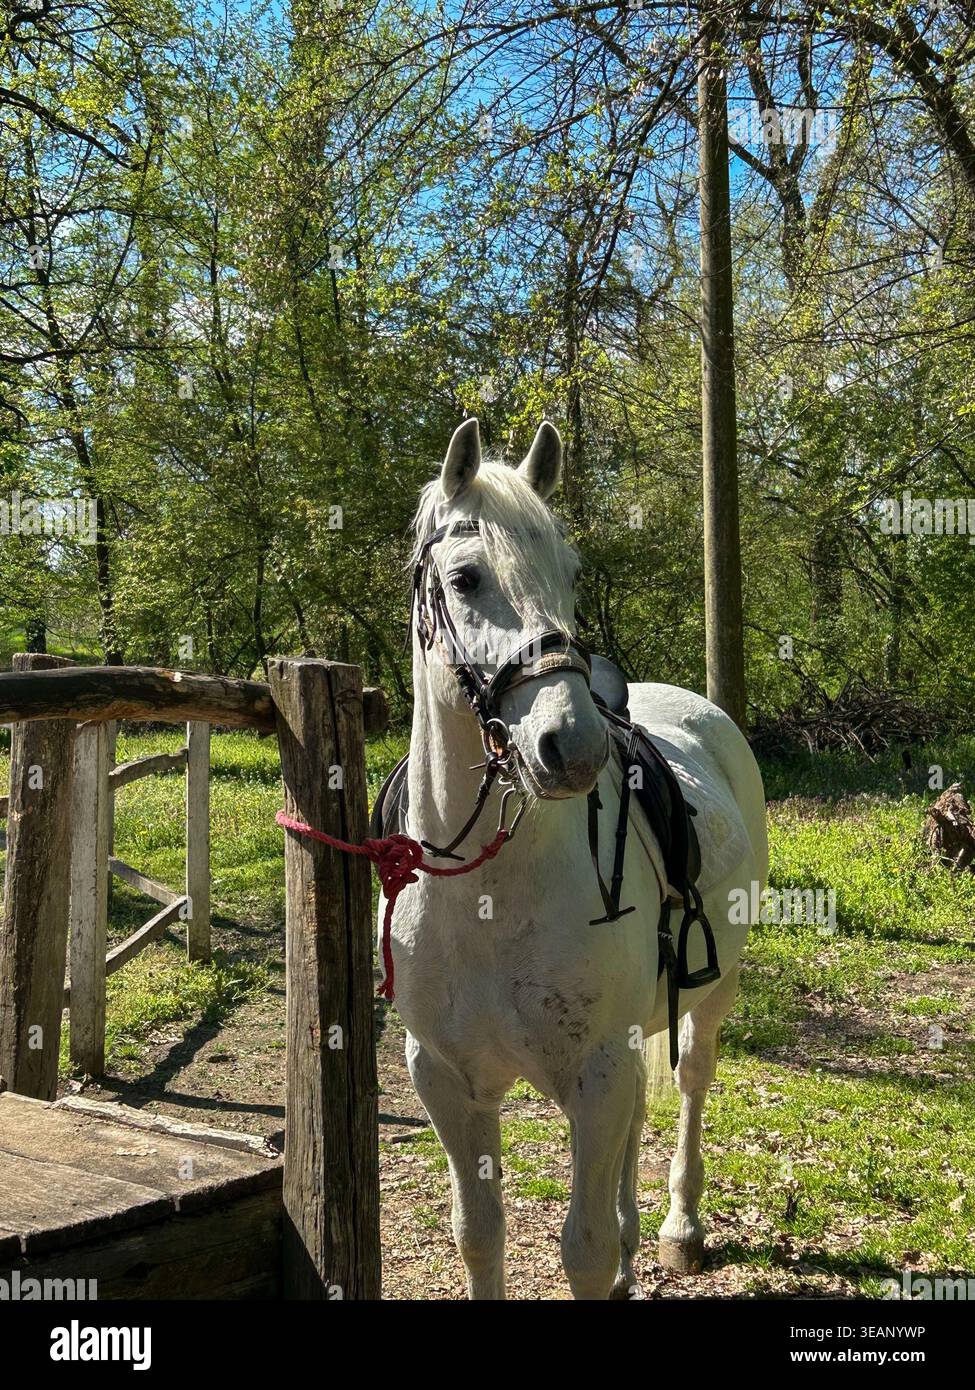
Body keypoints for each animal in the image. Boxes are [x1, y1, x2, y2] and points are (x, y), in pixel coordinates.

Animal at [381, 416, 768, 1300]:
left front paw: (623, 1247)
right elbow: (478, 1234)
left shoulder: (596, 1072)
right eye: (465, 578)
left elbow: (581, 1249)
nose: (574, 745)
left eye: (571, 573)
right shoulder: (447, 1082)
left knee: (690, 1085)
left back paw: (677, 1228)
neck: (489, 895)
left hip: (711, 994)